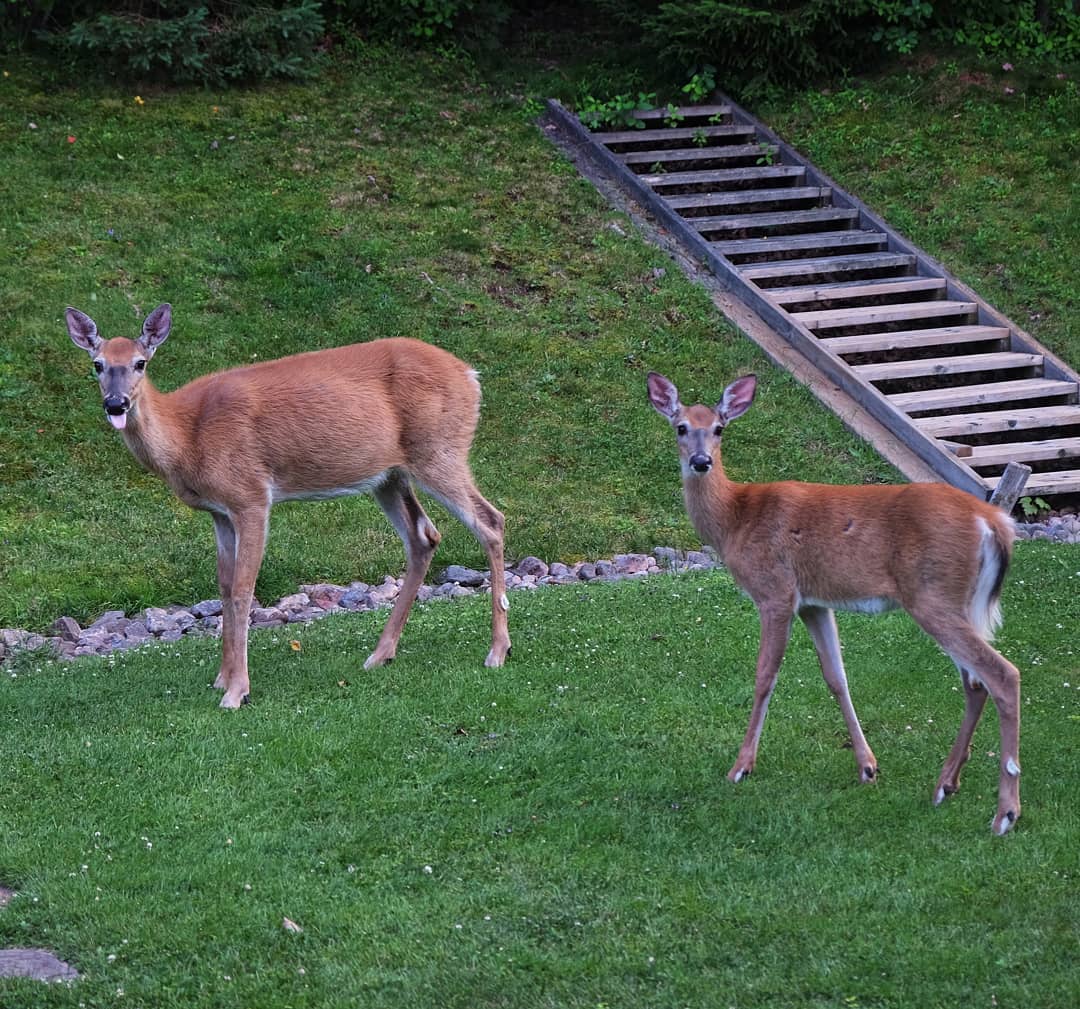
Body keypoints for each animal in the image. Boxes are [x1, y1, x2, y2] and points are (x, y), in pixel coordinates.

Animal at [68, 306, 514, 712]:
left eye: (140, 363)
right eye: (97, 365)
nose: (116, 404)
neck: (188, 436)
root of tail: (470, 376)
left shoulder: (250, 495)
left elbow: (244, 590)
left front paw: (237, 692)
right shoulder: (219, 512)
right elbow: (224, 587)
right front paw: (222, 678)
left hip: (439, 449)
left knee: (490, 521)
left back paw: (497, 651)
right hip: (389, 476)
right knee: (424, 536)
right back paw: (380, 654)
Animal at [648, 371, 1019, 838]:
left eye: (719, 428)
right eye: (681, 427)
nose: (701, 461)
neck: (735, 519)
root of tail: (994, 522)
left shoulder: (775, 591)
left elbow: (765, 676)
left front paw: (741, 767)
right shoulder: (813, 602)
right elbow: (836, 677)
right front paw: (867, 767)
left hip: (933, 596)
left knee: (1002, 674)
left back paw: (1004, 813)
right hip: (958, 602)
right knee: (975, 683)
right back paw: (945, 785)